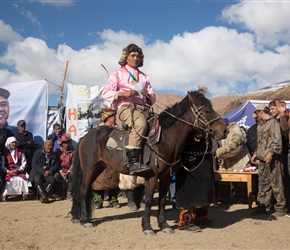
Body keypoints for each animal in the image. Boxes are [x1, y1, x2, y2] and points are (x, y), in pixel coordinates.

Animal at [71, 91, 229, 235]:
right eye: (206, 110)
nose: (225, 130)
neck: (163, 140)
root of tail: (85, 136)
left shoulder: (165, 177)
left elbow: (162, 201)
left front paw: (164, 225)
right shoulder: (152, 177)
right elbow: (148, 200)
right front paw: (147, 227)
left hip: (98, 168)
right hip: (89, 169)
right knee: (83, 190)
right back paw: (85, 220)